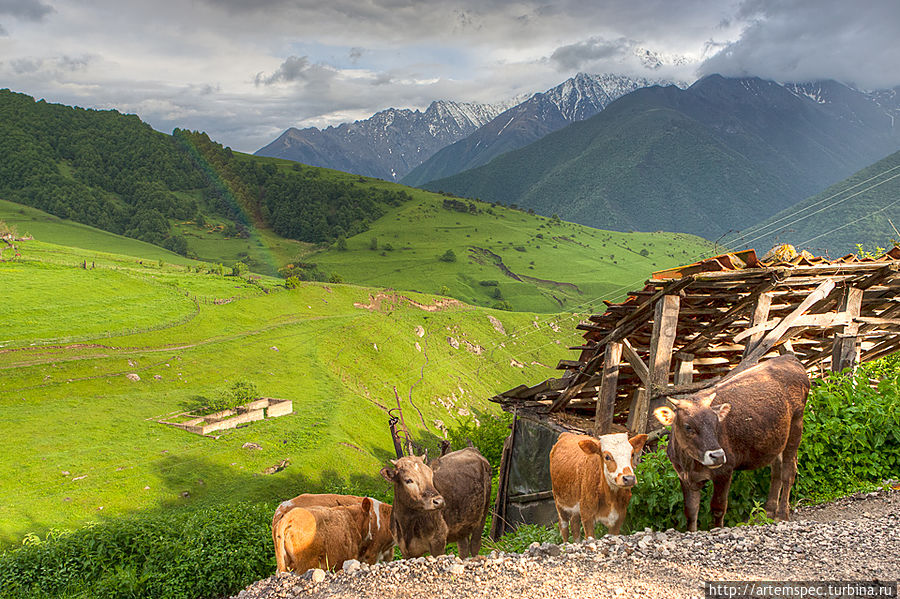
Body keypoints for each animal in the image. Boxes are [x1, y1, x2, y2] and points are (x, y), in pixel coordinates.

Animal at [652, 354, 812, 532]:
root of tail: (789, 358)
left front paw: (718, 529)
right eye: (688, 426)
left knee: (788, 471)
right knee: (776, 471)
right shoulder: (684, 477)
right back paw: (769, 512)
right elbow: (691, 511)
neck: (691, 464)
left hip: (797, 425)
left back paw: (782, 514)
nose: (717, 455)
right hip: (777, 439)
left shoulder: (724, 471)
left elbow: (718, 508)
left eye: (716, 423)